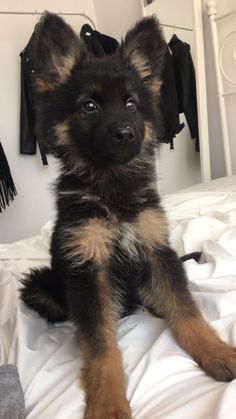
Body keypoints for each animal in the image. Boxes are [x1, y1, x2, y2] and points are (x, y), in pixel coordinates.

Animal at [20, 11, 236, 418]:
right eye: (89, 106)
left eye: (132, 104)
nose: (126, 133)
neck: (112, 187)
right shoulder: (87, 270)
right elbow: (100, 345)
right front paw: (108, 402)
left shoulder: (157, 252)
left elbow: (187, 312)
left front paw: (216, 353)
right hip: (40, 283)